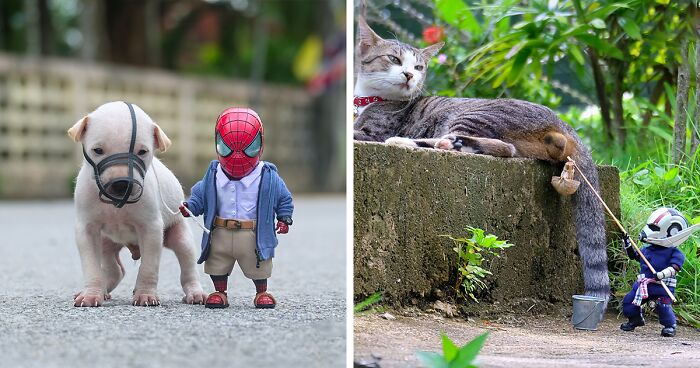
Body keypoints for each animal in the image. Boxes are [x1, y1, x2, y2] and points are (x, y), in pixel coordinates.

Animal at [67, 101, 206, 308]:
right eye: (98, 150)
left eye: (142, 152)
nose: (121, 184)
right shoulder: (87, 229)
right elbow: (92, 267)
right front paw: (91, 295)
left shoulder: (151, 229)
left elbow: (148, 267)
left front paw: (145, 295)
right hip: (106, 242)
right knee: (115, 269)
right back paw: (103, 290)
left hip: (181, 238)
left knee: (188, 268)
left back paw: (195, 293)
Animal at [352, 14, 608, 306]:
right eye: (394, 59)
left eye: (418, 67)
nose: (409, 75)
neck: (369, 100)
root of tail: (561, 122)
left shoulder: (374, 131)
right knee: (506, 149)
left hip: (473, 115)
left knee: (498, 146)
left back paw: (418, 142)